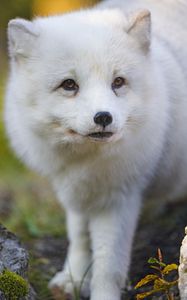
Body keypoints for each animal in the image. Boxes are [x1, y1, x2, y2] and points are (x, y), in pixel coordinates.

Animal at [4, 0, 187, 298]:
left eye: (118, 82)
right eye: (69, 84)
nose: (103, 117)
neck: (87, 161)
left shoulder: (119, 199)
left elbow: (108, 263)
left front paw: (101, 292)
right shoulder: (75, 190)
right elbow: (79, 237)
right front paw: (75, 278)